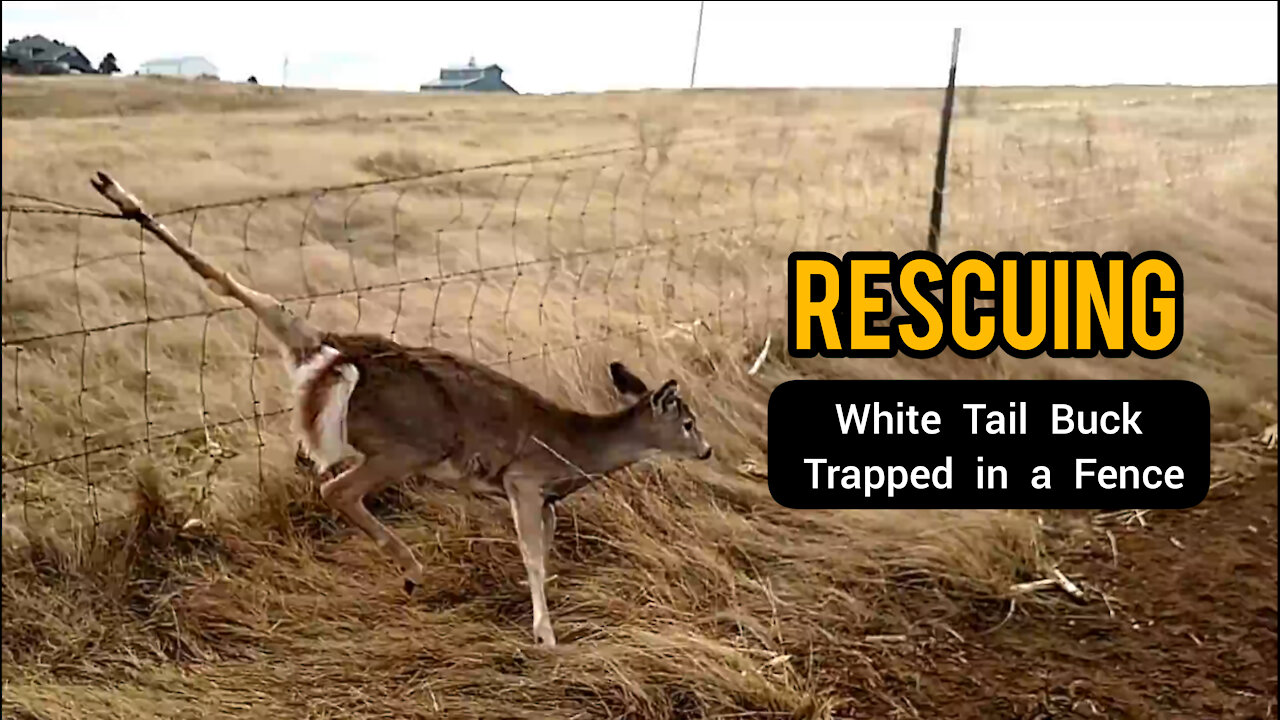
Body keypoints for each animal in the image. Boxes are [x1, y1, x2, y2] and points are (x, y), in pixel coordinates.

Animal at [90, 169, 711, 645]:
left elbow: (545, 552)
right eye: (687, 421)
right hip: (409, 442)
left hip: (366, 410)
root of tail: (336, 350)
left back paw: (117, 193)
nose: (706, 450)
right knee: (337, 488)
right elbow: (534, 555)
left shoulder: (542, 497)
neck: (577, 448)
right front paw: (546, 635)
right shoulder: (525, 479)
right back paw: (412, 572)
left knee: (247, 292)